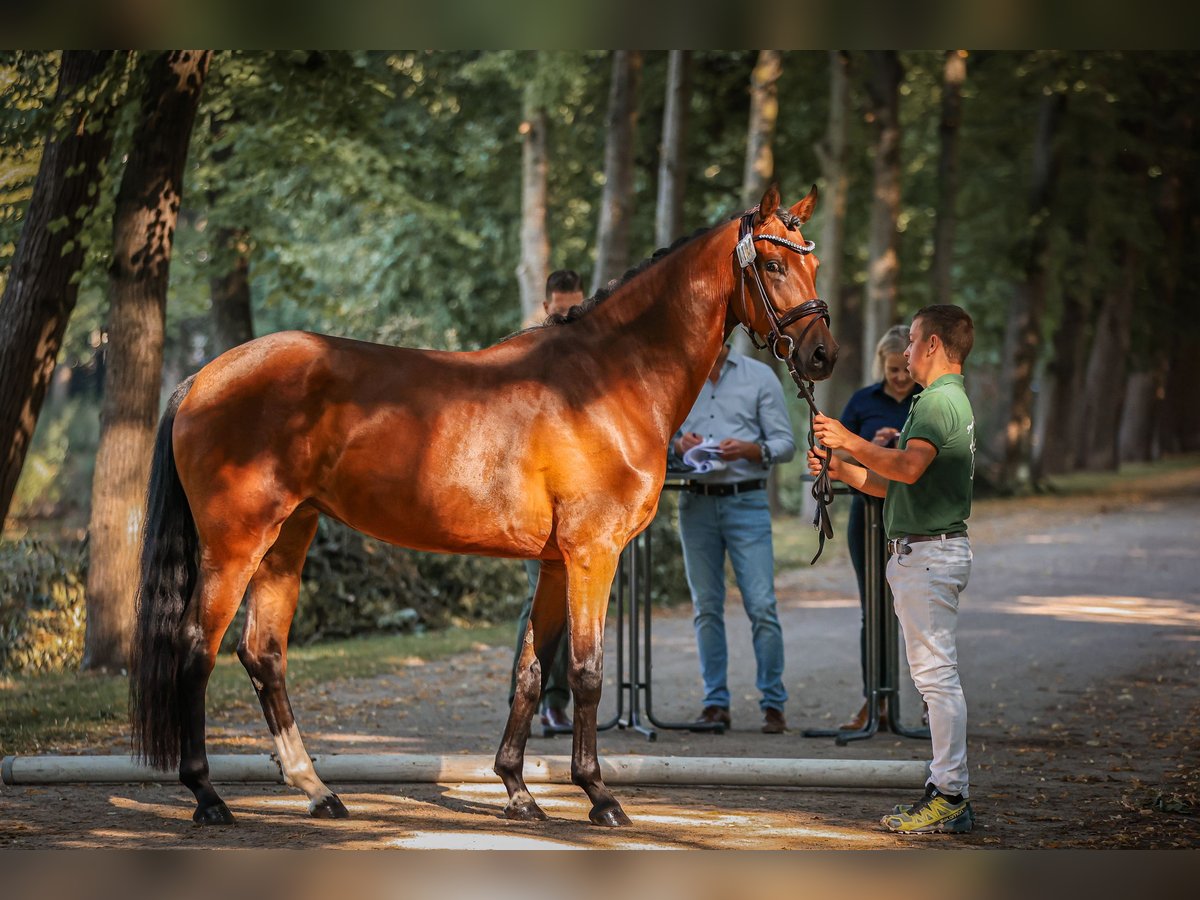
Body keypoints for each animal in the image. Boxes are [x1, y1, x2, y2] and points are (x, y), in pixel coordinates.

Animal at [129, 184, 835, 830]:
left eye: (813, 263)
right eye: (773, 265)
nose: (821, 355)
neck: (609, 379)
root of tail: (203, 377)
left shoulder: (554, 564)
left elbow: (530, 671)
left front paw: (518, 790)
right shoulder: (592, 555)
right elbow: (584, 671)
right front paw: (599, 795)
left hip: (287, 538)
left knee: (263, 653)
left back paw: (318, 791)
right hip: (237, 543)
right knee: (195, 648)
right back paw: (208, 796)